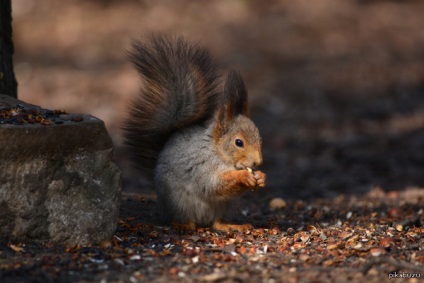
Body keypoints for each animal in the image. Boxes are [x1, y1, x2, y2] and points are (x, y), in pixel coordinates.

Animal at [121, 33, 264, 233]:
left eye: (260, 139)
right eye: (239, 142)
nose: (258, 162)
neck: (217, 152)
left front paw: (261, 177)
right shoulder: (201, 165)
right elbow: (213, 183)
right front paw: (244, 176)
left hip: (224, 206)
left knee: (216, 222)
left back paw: (231, 225)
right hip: (178, 201)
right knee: (181, 219)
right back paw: (183, 225)